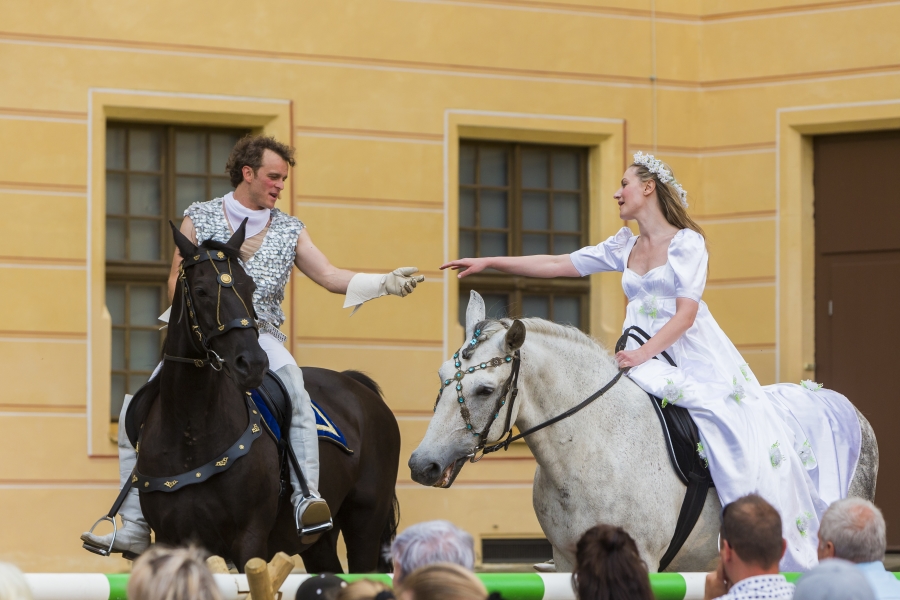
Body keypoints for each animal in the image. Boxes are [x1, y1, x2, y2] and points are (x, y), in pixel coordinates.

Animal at [410, 290, 880, 572]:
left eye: (485, 389)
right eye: (440, 377)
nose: (421, 465)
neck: (591, 451)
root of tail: (846, 406)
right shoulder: (565, 560)